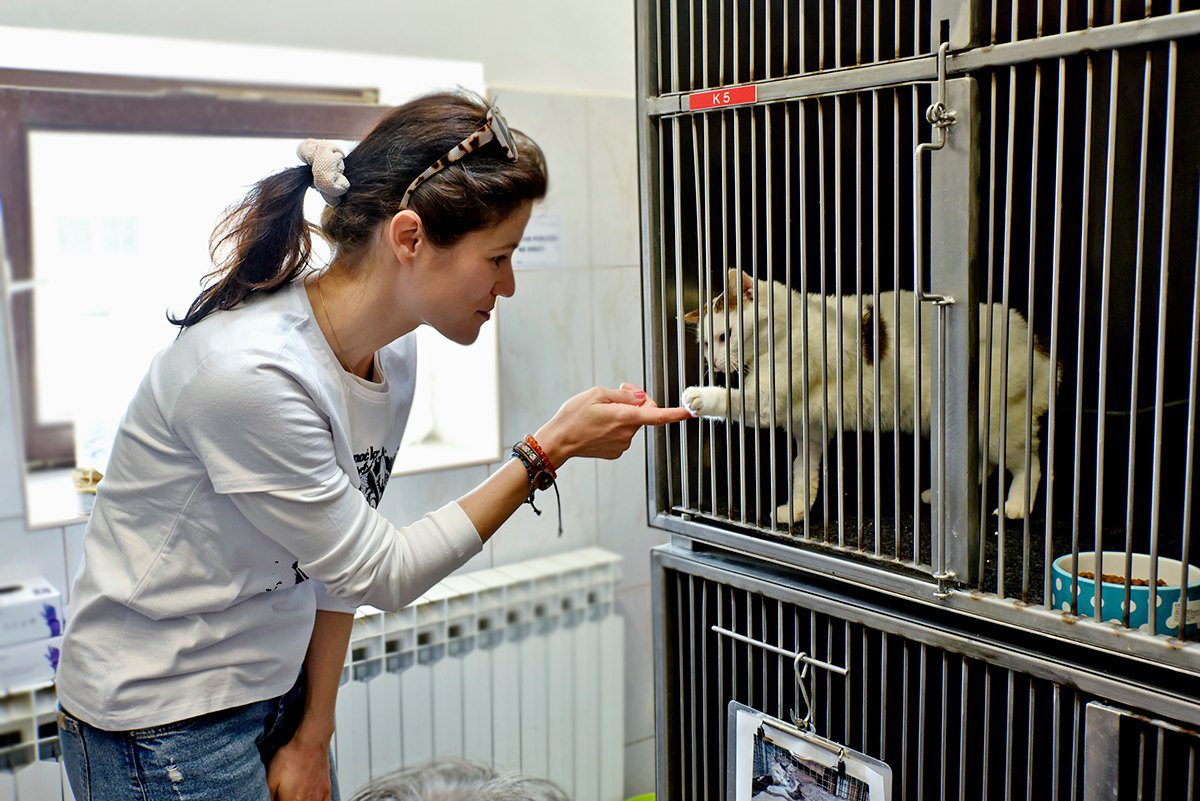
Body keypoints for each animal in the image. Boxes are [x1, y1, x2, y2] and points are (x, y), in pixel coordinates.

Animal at [682, 269, 1059, 523]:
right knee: (982, 462)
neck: (786, 329)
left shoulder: (766, 396)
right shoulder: (810, 428)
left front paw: (697, 397)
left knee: (1030, 465)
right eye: (705, 343)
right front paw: (799, 510)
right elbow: (803, 474)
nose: (714, 363)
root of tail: (1036, 341)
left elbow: (734, 399)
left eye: (725, 336)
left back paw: (1016, 506)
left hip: (999, 423)